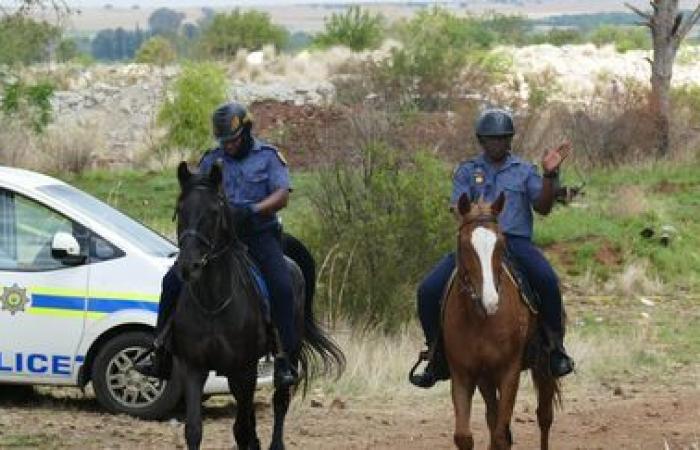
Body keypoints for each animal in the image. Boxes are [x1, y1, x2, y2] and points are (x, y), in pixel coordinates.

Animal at [171, 163, 344, 450]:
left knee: (280, 401)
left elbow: (242, 427)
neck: (212, 302)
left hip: (288, 353)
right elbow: (194, 429)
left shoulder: (246, 368)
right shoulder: (193, 367)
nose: (188, 266)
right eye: (180, 209)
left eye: (214, 211)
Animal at [446, 193, 560, 450]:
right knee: (493, 417)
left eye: (500, 243)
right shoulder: (463, 373)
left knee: (544, 416)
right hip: (486, 377)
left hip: (544, 365)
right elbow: (465, 436)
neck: (481, 319)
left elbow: (500, 436)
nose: (491, 301)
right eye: (465, 245)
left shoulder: (509, 371)